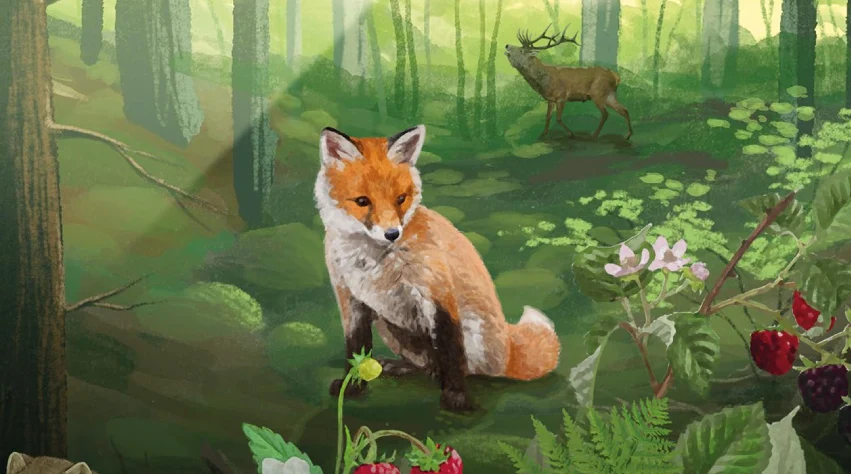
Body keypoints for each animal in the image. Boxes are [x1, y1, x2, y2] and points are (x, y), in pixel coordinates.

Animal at [314, 124, 561, 412]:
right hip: (390, 327)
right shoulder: (350, 298)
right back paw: (403, 367)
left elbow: (451, 352)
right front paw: (353, 386)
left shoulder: (438, 294)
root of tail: (509, 350)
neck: (373, 261)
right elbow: (355, 349)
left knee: (462, 366)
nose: (392, 233)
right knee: (426, 363)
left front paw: (456, 397)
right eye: (362, 201)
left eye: (400, 199)